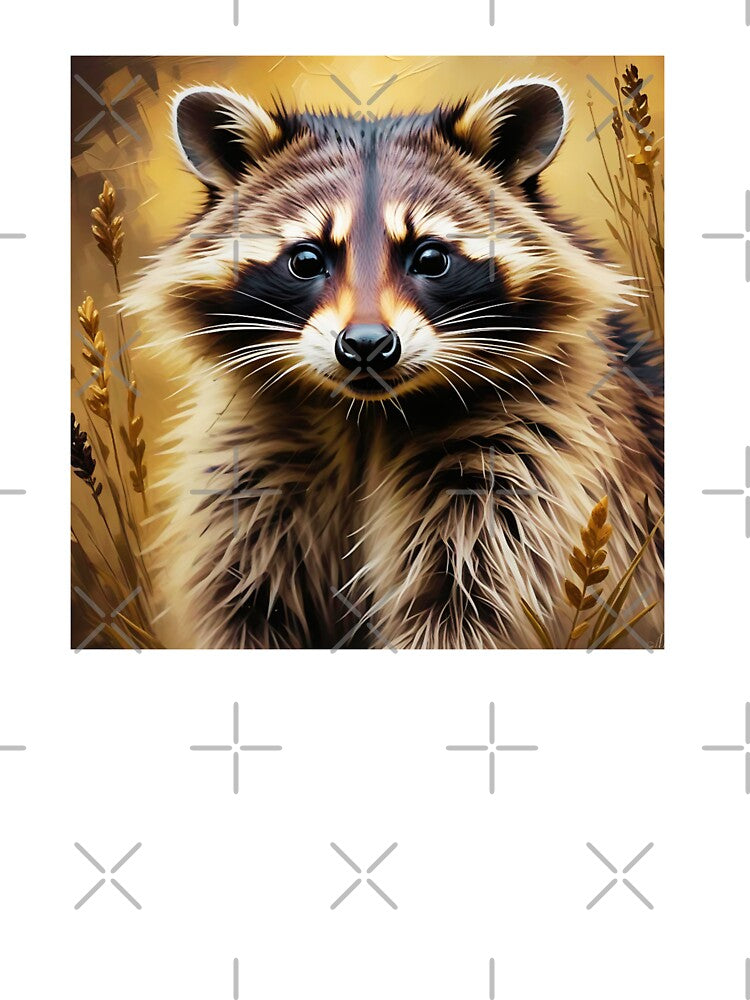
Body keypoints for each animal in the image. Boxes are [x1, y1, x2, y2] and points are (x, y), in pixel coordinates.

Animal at [129, 77, 663, 649]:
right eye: (306, 260)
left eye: (430, 258)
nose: (366, 345)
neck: (365, 416)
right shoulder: (248, 471)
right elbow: (244, 602)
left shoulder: (528, 460)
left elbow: (466, 605)